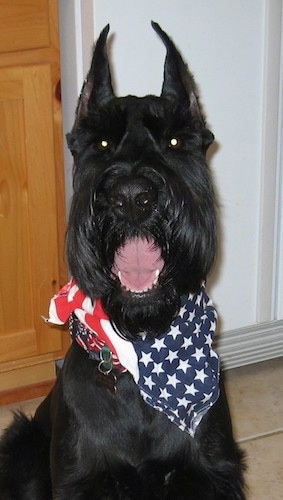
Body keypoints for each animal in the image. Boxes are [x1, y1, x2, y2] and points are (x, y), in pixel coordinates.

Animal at [0, 21, 246, 498]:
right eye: (101, 142)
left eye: (174, 140)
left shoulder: (212, 474)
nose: (132, 197)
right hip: (21, 447)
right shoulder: (80, 481)